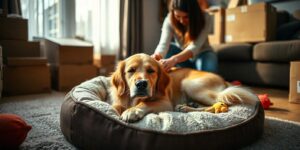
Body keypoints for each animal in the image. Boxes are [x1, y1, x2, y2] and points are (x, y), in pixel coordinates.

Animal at [110, 53, 258, 122]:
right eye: (131, 70)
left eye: (151, 71)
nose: (141, 84)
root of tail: (224, 80)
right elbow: (115, 106)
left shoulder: (165, 103)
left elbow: (145, 103)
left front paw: (132, 111)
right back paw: (188, 106)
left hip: (190, 84)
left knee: (220, 105)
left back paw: (185, 108)